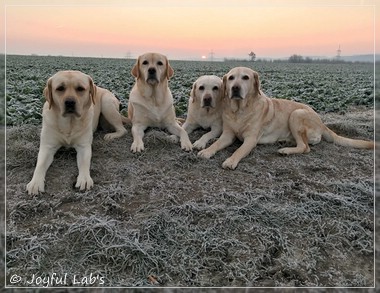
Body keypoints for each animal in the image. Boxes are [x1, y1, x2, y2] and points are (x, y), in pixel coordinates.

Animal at [199, 66, 374, 169]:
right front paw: (206, 151)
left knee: (305, 147)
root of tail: (322, 122)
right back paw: (286, 142)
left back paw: (286, 150)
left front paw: (230, 161)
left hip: (296, 114)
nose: (235, 88)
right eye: (230, 78)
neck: (240, 110)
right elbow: (215, 144)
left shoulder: (251, 139)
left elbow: (239, 150)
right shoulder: (228, 134)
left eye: (246, 78)